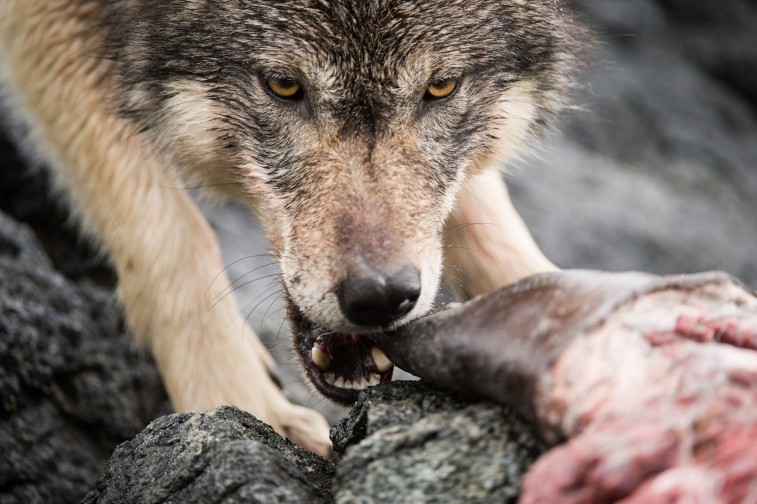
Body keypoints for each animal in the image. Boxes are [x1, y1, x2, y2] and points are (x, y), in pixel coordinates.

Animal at [1, 0, 580, 456]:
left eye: (441, 87)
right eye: (283, 85)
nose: (382, 296)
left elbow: (487, 215)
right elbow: (166, 231)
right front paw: (237, 402)